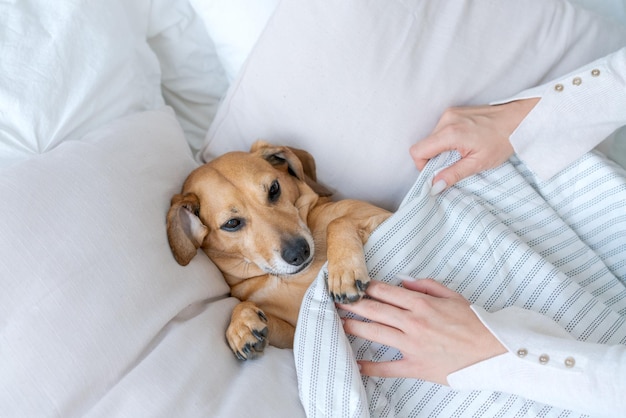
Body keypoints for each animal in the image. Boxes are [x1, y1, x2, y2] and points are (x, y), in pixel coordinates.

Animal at [168, 140, 388, 360]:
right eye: (231, 223)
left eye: (274, 189)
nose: (299, 252)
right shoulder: (297, 337)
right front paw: (240, 324)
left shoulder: (383, 217)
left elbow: (337, 222)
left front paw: (344, 272)